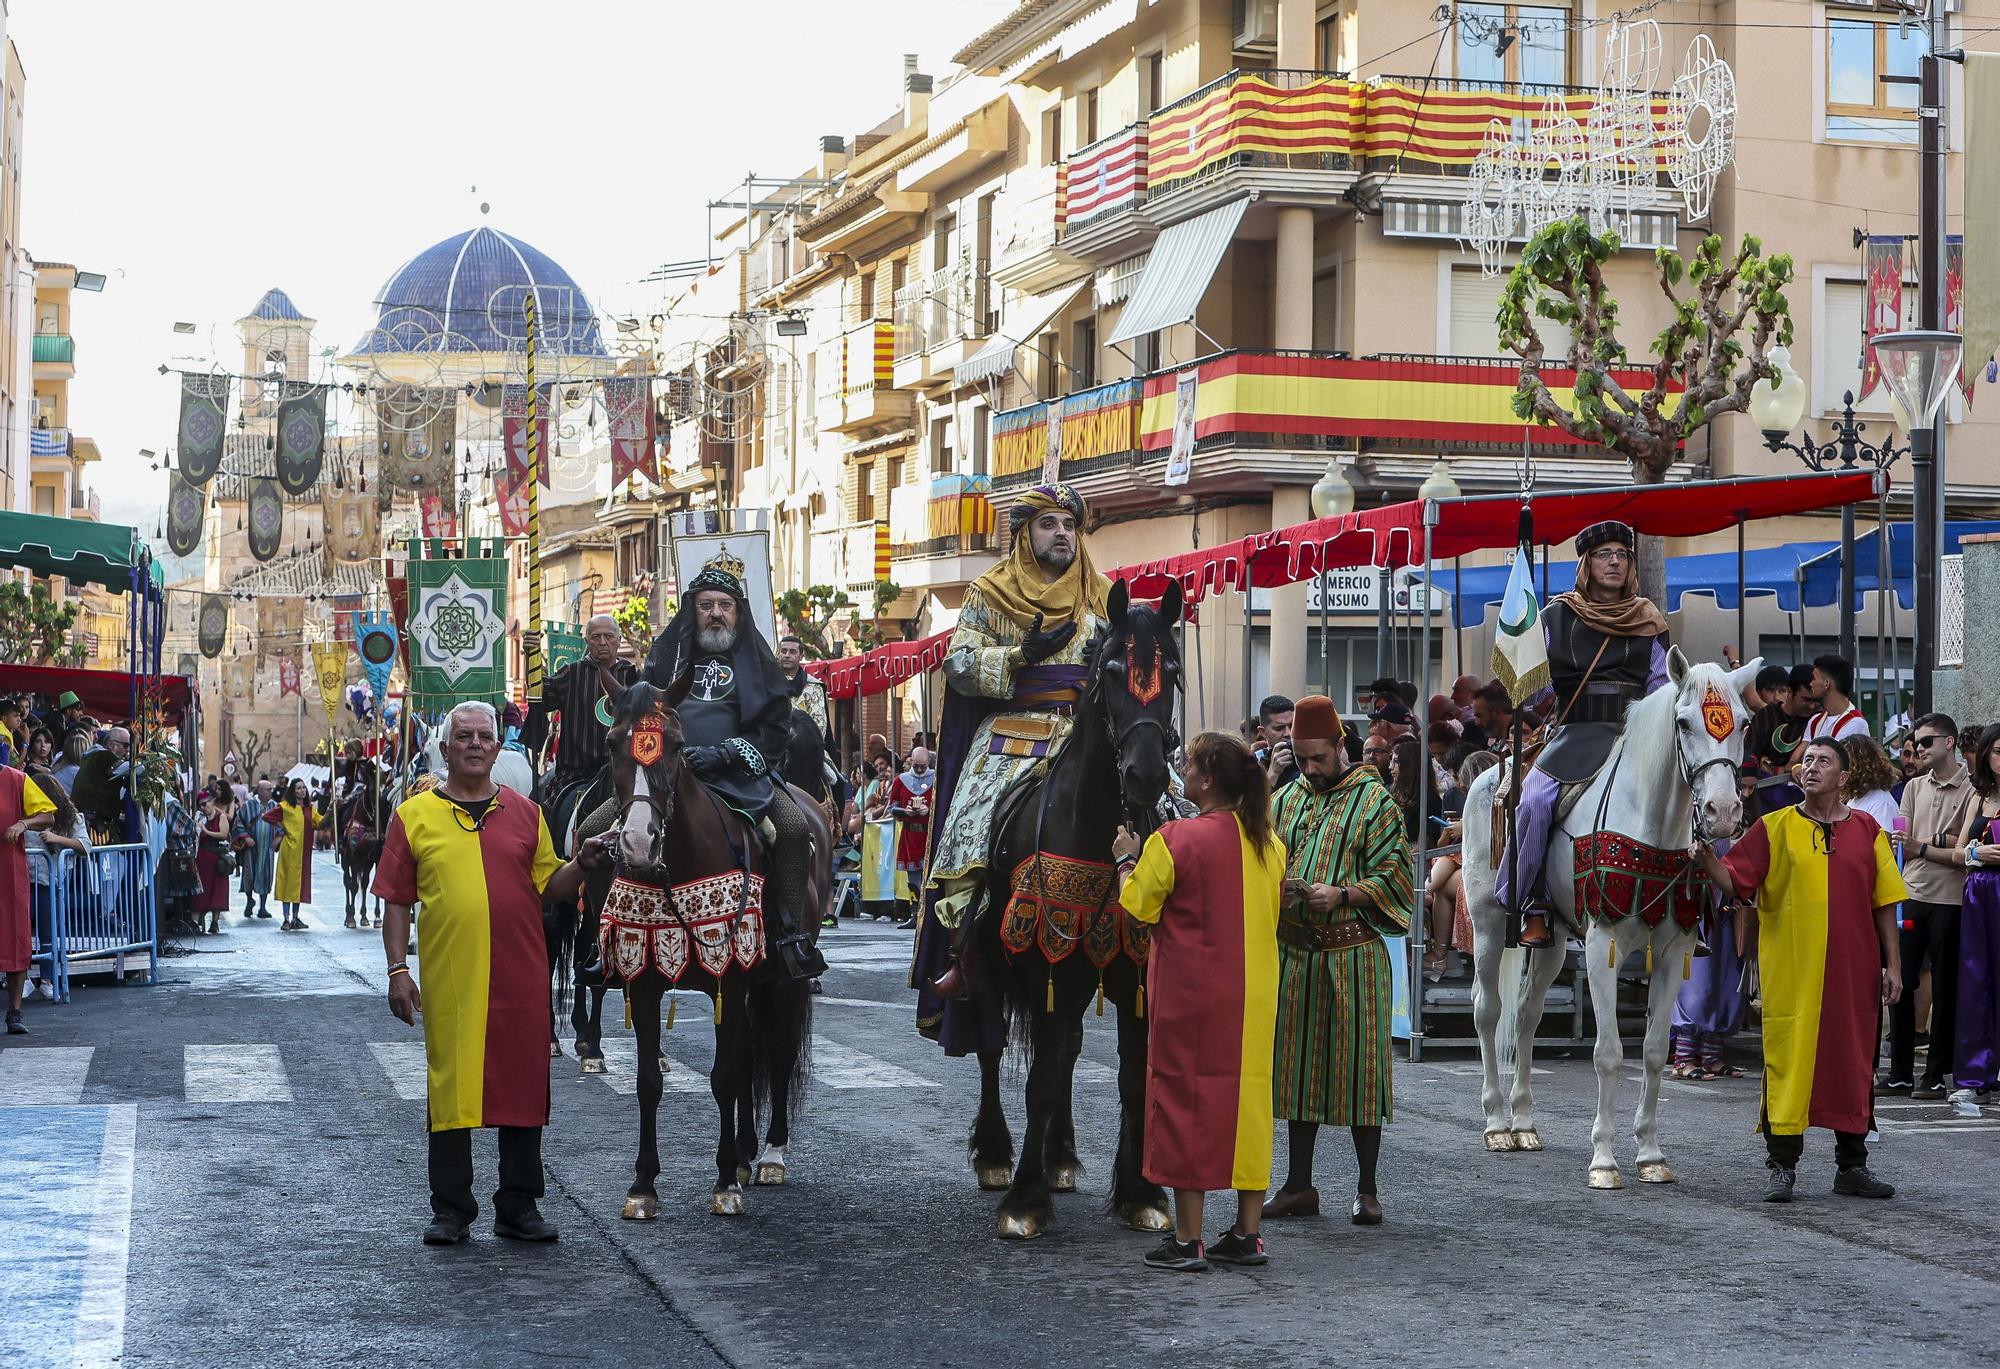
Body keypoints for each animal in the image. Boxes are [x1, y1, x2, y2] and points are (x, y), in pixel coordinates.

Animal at [604, 680, 832, 1216]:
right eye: (612, 743)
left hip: (784, 982)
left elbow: (724, 1076)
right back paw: (747, 1154)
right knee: (751, 1055)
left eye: (677, 746)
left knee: (778, 1053)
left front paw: (725, 1182)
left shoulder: (728, 976)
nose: (638, 843)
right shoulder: (644, 984)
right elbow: (649, 1082)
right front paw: (642, 1186)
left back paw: (769, 1156)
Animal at [960, 576, 1176, 1240]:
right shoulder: (1046, 962)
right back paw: (998, 1155)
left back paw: (1060, 1157)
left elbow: (1131, 1076)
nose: (1146, 774)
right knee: (994, 1046)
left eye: (1173, 670)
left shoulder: (1133, 968)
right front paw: (1024, 1201)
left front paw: (1140, 1192)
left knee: (1070, 1049)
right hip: (993, 958)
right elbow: (1041, 1080)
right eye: (1111, 670)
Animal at [1464, 652, 1760, 1184]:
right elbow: (1608, 1054)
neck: (1652, 822)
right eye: (1684, 723)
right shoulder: (1604, 946)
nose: (1723, 812)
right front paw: (1603, 1159)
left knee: (1526, 1014)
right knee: (1488, 1009)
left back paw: (1524, 1123)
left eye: (1745, 723)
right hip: (1489, 923)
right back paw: (1497, 1123)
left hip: (1552, 938)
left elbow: (1655, 1051)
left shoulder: (1674, 950)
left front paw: (1651, 1154)